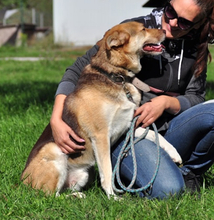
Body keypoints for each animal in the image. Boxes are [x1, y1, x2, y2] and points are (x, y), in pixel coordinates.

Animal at [21, 21, 182, 199]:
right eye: (143, 29)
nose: (165, 31)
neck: (117, 77)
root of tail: (22, 183)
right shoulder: (100, 136)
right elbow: (107, 171)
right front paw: (113, 197)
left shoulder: (127, 126)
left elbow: (155, 134)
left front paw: (174, 153)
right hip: (54, 151)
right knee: (50, 196)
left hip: (83, 174)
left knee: (62, 192)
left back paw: (77, 196)